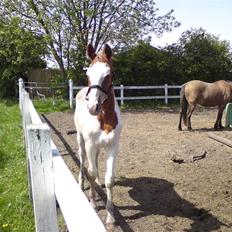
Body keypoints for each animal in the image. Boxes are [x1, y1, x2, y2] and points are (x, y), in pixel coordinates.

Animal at [74, 43, 122, 227]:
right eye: (88, 74)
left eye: (108, 74)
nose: (93, 107)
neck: (104, 119)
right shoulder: (89, 144)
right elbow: (91, 172)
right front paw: (93, 203)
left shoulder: (113, 147)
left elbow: (110, 179)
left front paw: (110, 217)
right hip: (81, 141)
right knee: (83, 161)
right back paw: (81, 183)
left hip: (98, 147)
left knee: (93, 161)